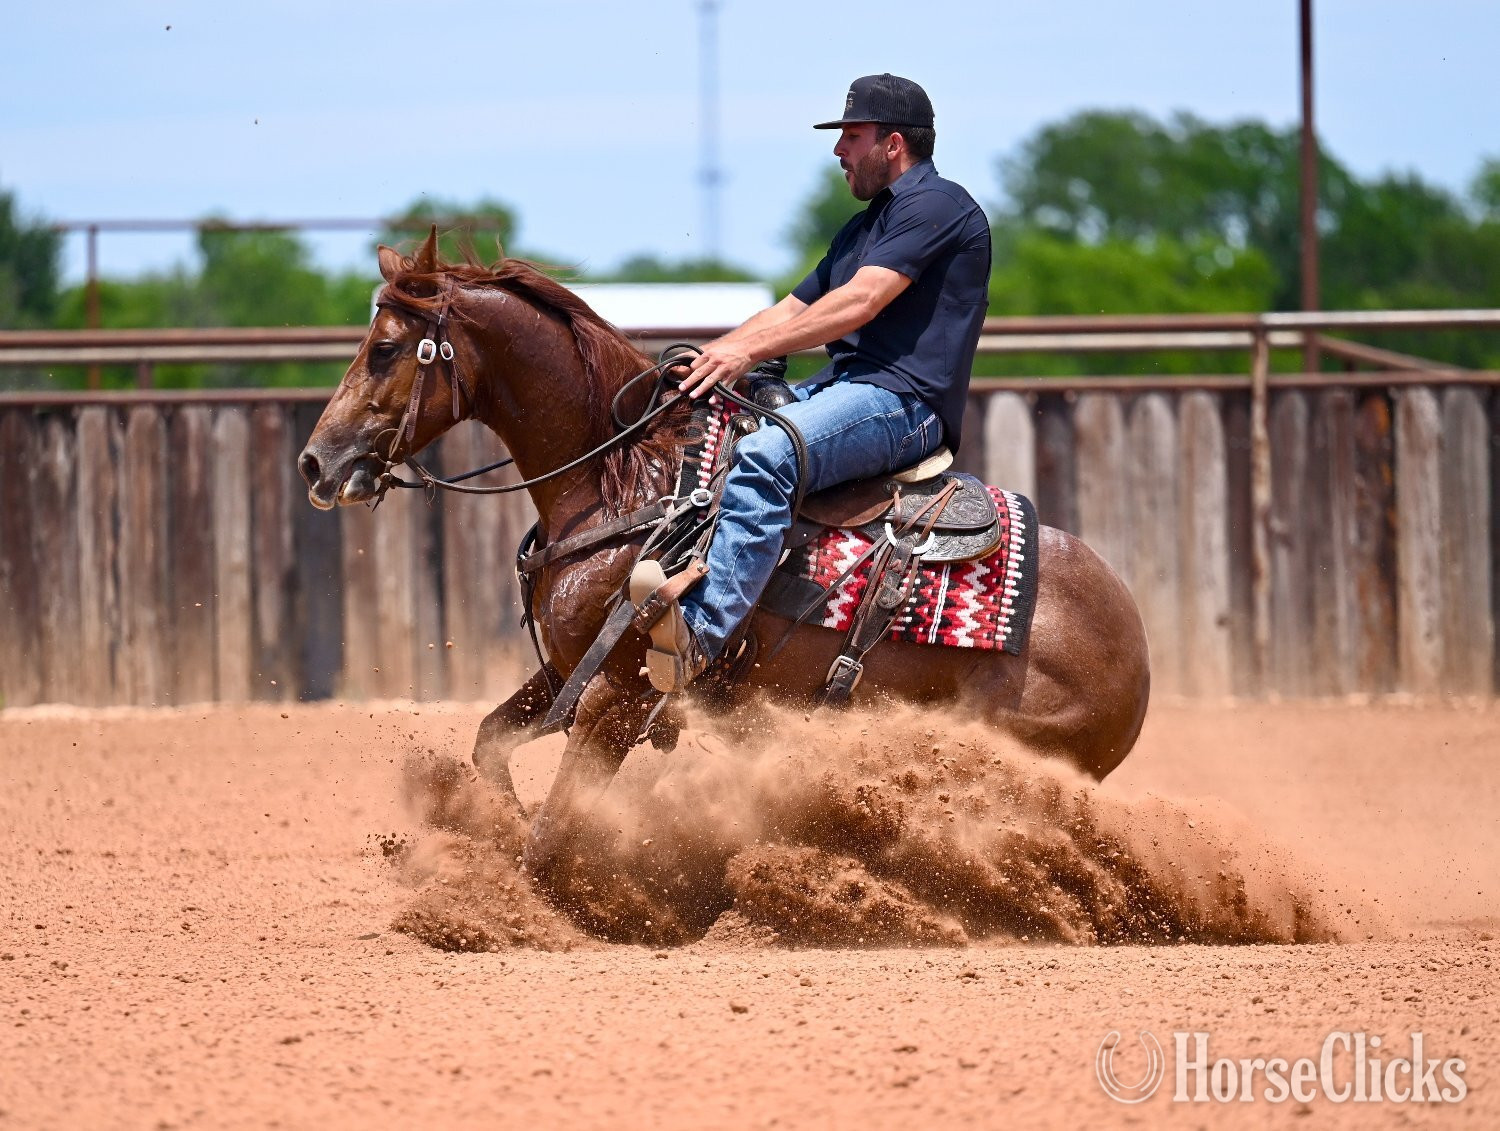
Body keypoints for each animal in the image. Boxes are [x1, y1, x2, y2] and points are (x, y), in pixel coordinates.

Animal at [297, 231, 1151, 887]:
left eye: (384, 350)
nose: (315, 461)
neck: (630, 485)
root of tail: (1135, 649)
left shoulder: (621, 694)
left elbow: (554, 828)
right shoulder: (570, 667)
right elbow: (490, 743)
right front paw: (497, 833)